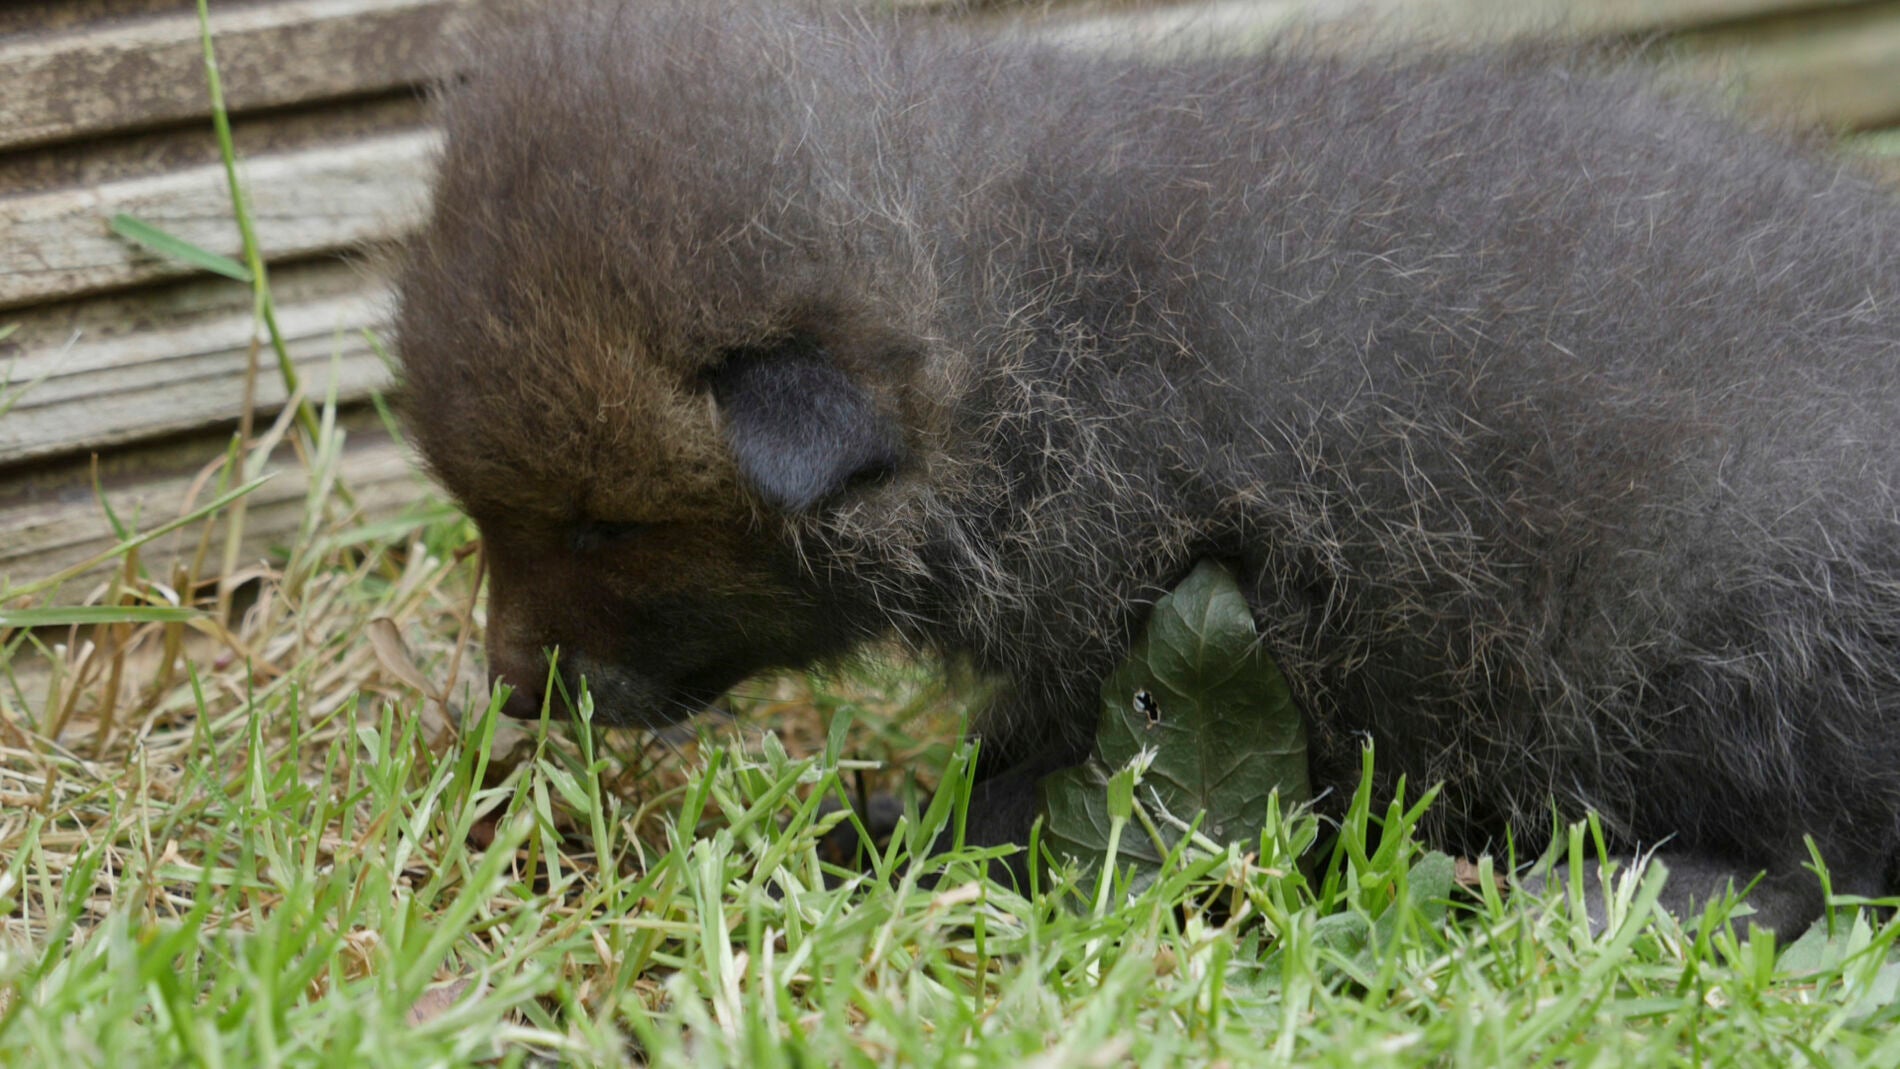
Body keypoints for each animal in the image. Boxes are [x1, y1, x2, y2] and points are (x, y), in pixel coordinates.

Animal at [394, 0, 1900, 930]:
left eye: (600, 528)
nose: (507, 682)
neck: (1030, 326)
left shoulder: (1148, 597)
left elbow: (1028, 780)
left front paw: (886, 837)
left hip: (1740, 646)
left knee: (1814, 858)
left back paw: (1616, 894)